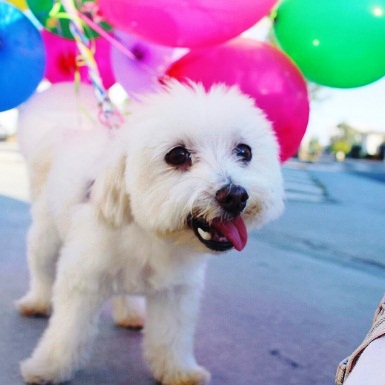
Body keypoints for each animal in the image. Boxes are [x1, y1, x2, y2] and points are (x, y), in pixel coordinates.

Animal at [16, 82, 284, 384]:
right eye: (177, 155)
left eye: (244, 151)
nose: (235, 195)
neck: (153, 235)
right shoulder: (82, 280)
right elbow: (67, 332)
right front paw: (48, 366)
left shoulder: (175, 292)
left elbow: (171, 336)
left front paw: (178, 370)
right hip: (45, 238)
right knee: (42, 272)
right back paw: (36, 302)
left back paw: (130, 313)